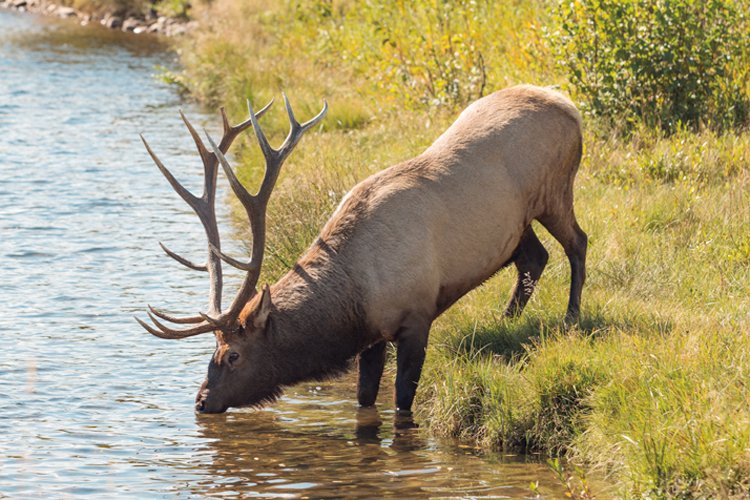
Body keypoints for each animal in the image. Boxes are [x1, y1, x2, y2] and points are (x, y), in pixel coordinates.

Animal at [138, 85, 592, 414]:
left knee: (578, 243)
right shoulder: (373, 337)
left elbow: (403, 401)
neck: (358, 295)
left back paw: (571, 317)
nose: (201, 401)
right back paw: (506, 319)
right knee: (534, 257)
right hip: (518, 223)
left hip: (555, 191)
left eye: (232, 355)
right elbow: (364, 399)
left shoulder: (416, 316)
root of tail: (570, 106)